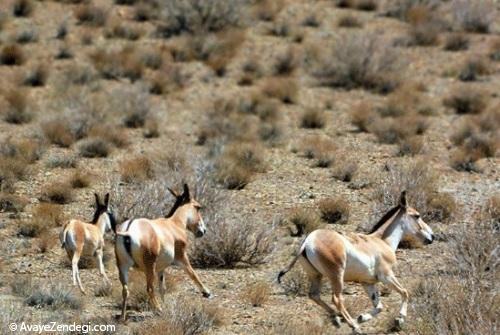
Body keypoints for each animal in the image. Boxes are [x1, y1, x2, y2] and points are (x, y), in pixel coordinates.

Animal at [115, 184, 211, 322]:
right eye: (198, 207)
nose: (203, 230)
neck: (173, 224)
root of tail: (128, 229)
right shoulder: (182, 257)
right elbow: (192, 273)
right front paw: (206, 292)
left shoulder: (161, 269)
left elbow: (162, 288)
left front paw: (166, 306)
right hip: (149, 267)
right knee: (149, 288)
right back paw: (158, 309)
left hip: (123, 266)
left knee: (125, 289)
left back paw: (122, 317)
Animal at [278, 192, 434, 334]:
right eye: (417, 215)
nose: (432, 236)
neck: (382, 241)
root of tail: (308, 241)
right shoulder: (386, 276)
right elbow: (404, 292)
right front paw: (400, 319)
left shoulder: (368, 283)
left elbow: (379, 306)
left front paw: (362, 317)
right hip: (337, 276)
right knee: (337, 299)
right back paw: (354, 326)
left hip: (316, 275)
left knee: (314, 295)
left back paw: (337, 319)